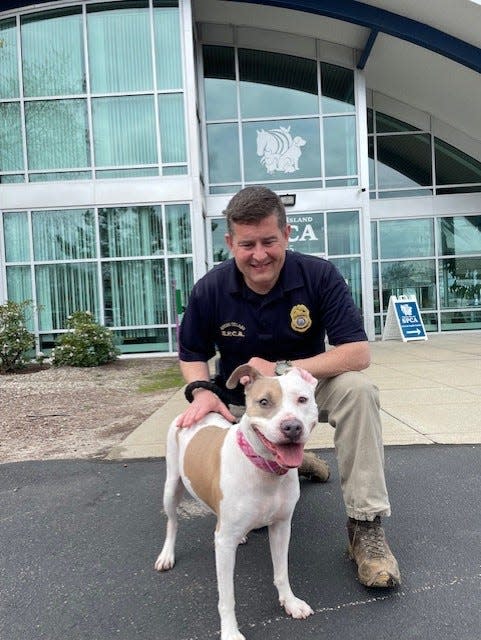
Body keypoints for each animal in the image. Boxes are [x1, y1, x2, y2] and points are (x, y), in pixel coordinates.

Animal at [155, 364, 318, 640]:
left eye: (302, 400)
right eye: (264, 402)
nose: (292, 427)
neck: (265, 470)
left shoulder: (281, 527)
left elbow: (281, 572)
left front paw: (290, 602)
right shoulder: (223, 545)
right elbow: (227, 596)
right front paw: (230, 632)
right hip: (171, 486)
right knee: (172, 523)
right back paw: (167, 554)